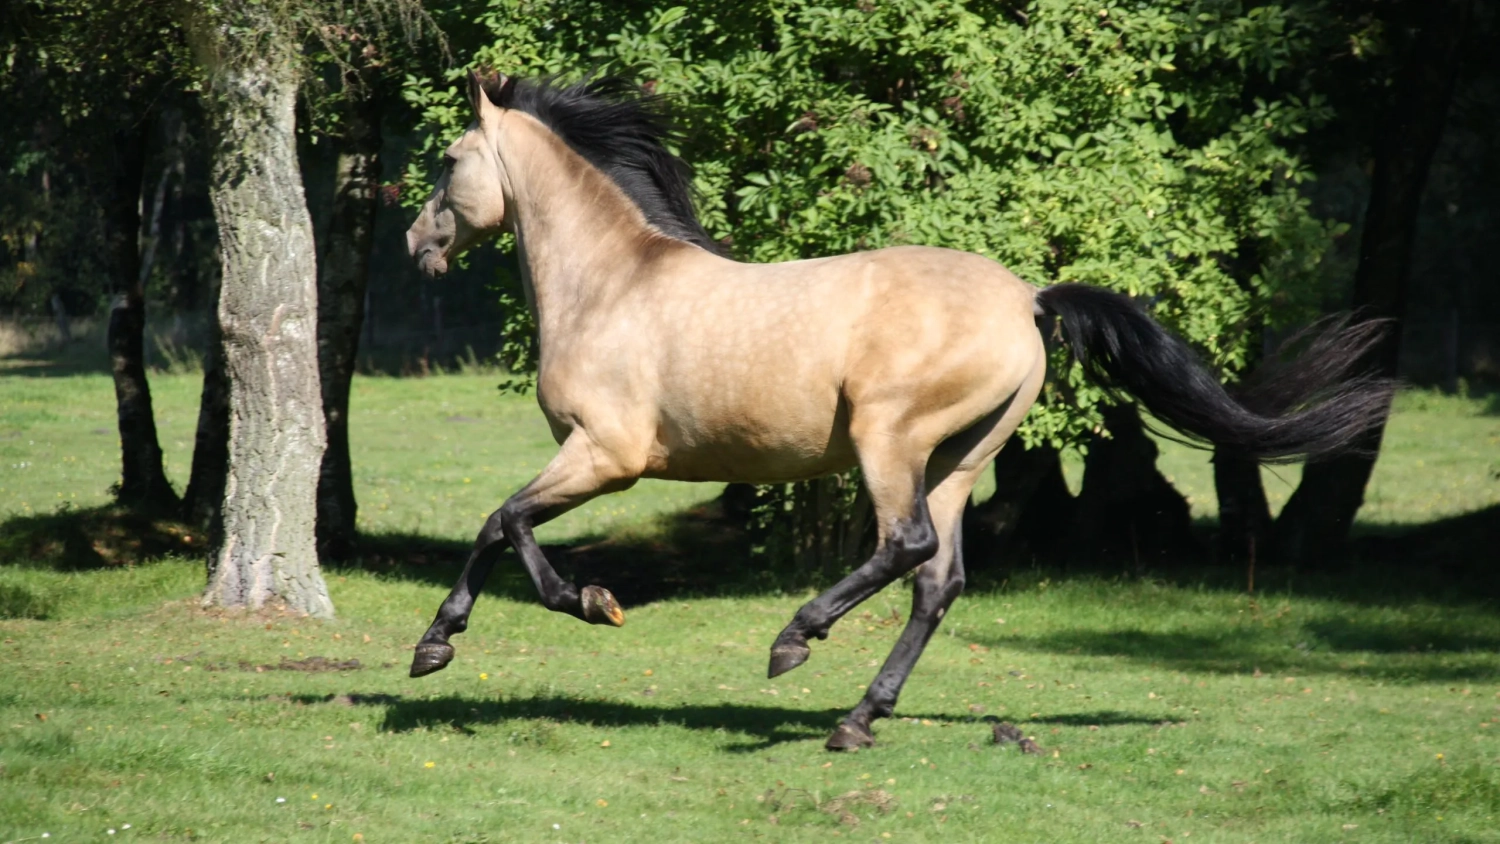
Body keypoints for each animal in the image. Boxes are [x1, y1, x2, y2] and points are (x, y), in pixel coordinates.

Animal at [402, 69, 1392, 749]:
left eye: (449, 161)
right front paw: (438, 645)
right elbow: (499, 526)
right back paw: (858, 719)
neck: (614, 284)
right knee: (937, 581)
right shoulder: (594, 459)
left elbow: (505, 522)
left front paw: (569, 608)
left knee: (904, 547)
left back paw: (795, 642)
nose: (418, 242)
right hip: (957, 460)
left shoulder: (608, 457)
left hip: (890, 442)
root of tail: (1027, 298)